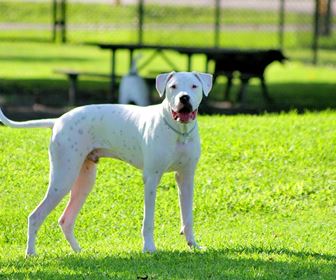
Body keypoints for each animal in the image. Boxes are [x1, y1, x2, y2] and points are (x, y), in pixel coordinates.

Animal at [0, 71, 211, 256]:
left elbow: (188, 216)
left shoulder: (186, 178)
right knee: (35, 216)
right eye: (173, 86)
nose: (184, 98)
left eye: (194, 86)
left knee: (65, 220)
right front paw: (149, 248)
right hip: (63, 178)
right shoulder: (152, 178)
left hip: (84, 180)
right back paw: (31, 253)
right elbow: (148, 220)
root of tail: (58, 120)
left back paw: (78, 251)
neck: (179, 131)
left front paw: (193, 245)